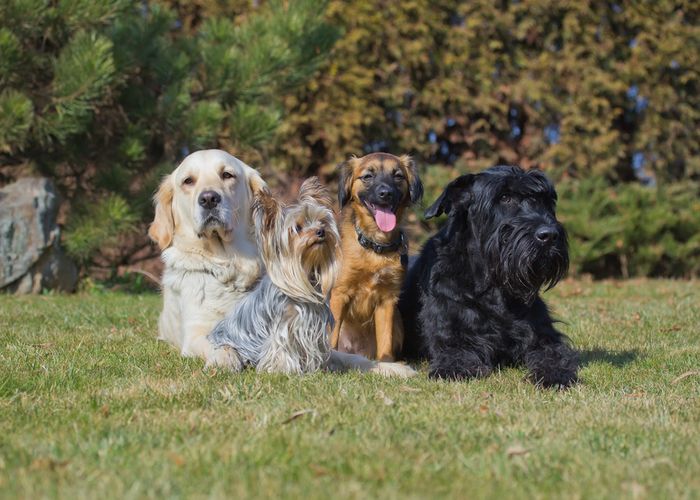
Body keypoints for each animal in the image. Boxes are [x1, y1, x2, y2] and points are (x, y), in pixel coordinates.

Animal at [206, 178, 416, 376]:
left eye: (321, 222)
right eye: (297, 228)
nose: (321, 231)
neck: (308, 274)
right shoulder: (285, 327)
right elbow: (282, 350)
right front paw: (284, 369)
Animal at [328, 150, 422, 362]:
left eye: (398, 176)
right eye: (367, 176)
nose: (385, 193)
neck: (375, 247)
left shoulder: (388, 300)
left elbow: (385, 341)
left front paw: (388, 364)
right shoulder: (339, 293)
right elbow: (332, 335)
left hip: (398, 322)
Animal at [400, 166, 580, 388]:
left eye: (544, 200)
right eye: (504, 197)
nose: (550, 236)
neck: (492, 286)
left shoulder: (543, 336)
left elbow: (553, 353)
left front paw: (555, 375)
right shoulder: (452, 337)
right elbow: (456, 355)